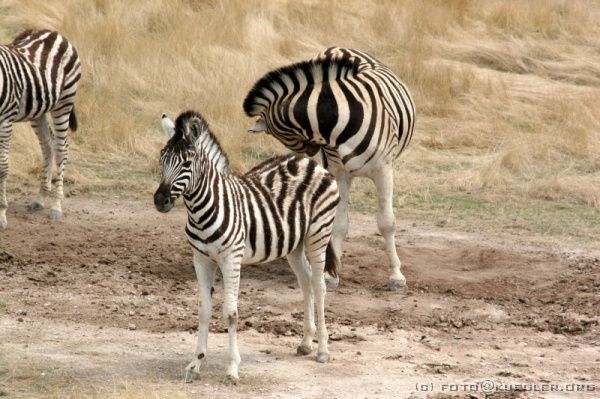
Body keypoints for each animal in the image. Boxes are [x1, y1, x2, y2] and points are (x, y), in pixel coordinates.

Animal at [0, 29, 81, 230]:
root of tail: (52, 32)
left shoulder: (5, 120)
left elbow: (2, 166)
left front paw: (1, 214)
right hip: (38, 110)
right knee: (47, 145)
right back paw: (41, 197)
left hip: (64, 101)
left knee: (61, 148)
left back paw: (56, 206)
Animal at [155, 110, 340, 384]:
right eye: (162, 159)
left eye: (186, 164)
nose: (160, 200)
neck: (201, 210)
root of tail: (311, 162)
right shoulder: (201, 259)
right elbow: (203, 309)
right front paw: (195, 364)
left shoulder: (231, 258)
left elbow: (231, 314)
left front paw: (232, 369)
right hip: (294, 244)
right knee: (306, 283)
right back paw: (306, 342)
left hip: (318, 234)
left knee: (319, 286)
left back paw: (323, 350)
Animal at [244, 47, 418, 292]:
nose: (314, 150)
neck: (336, 123)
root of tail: (338, 48)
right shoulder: (339, 172)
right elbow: (339, 223)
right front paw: (331, 273)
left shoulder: (383, 169)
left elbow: (386, 222)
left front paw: (396, 276)